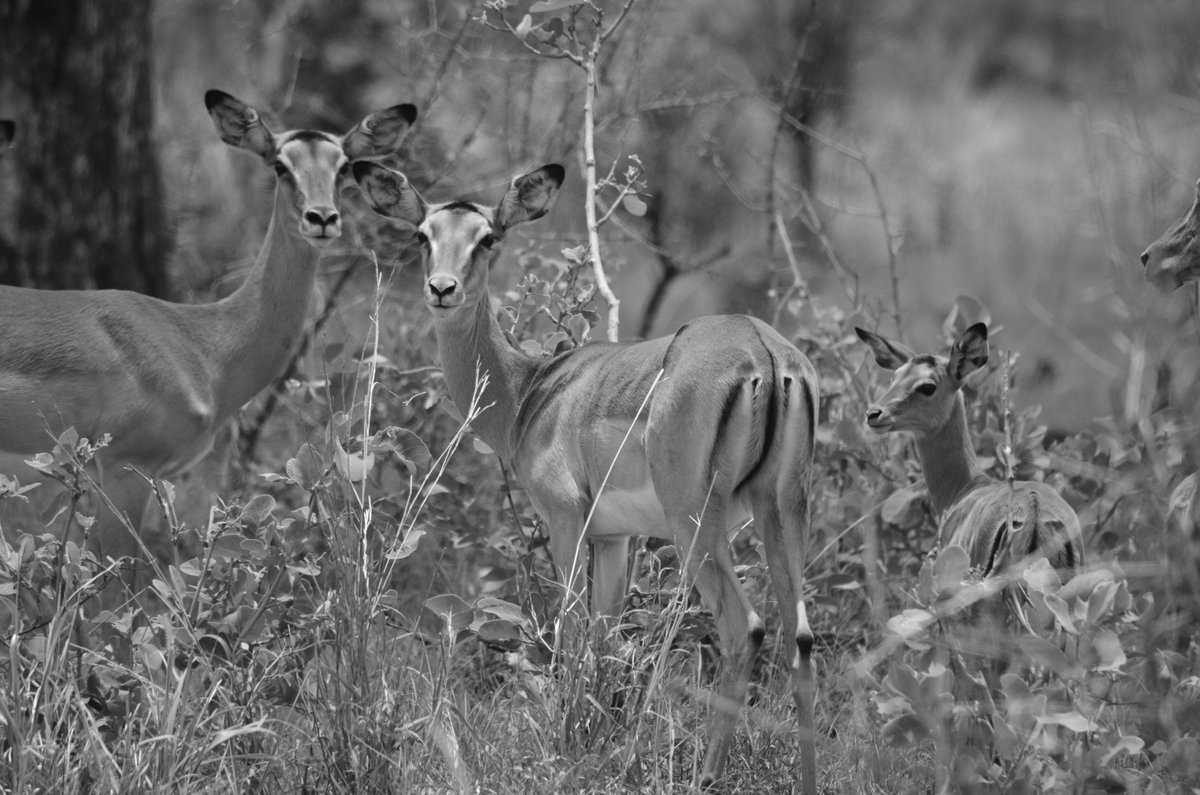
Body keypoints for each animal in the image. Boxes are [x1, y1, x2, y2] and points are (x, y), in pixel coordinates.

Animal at [352, 161, 820, 792]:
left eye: (488, 237)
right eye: (424, 234)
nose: (442, 289)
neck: (530, 390)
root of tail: (763, 352)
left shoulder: (566, 520)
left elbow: (571, 634)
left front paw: (567, 749)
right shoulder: (616, 537)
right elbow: (604, 637)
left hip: (695, 520)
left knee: (742, 627)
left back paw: (705, 774)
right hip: (783, 508)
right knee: (800, 636)